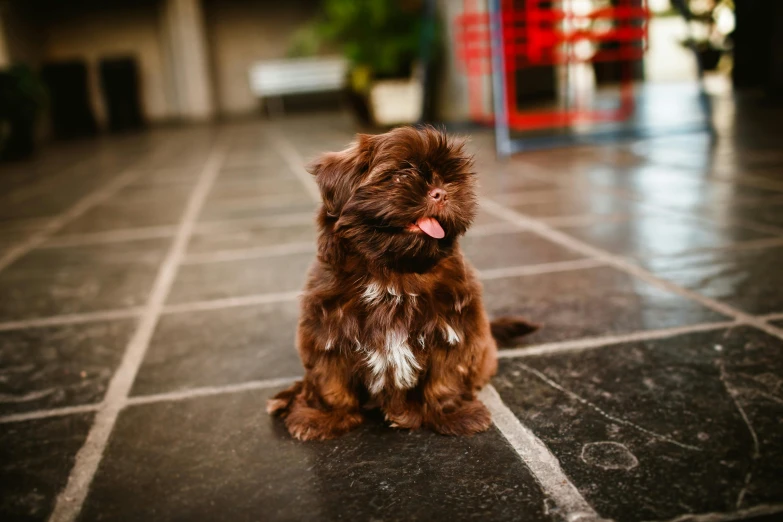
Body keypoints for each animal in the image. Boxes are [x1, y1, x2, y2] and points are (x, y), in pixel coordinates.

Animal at [266, 126, 536, 438]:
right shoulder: (325, 329)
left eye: (450, 178)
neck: (394, 274)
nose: (441, 192)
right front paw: (324, 415)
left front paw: (452, 412)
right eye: (401, 175)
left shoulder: (454, 328)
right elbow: (329, 378)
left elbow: (446, 376)